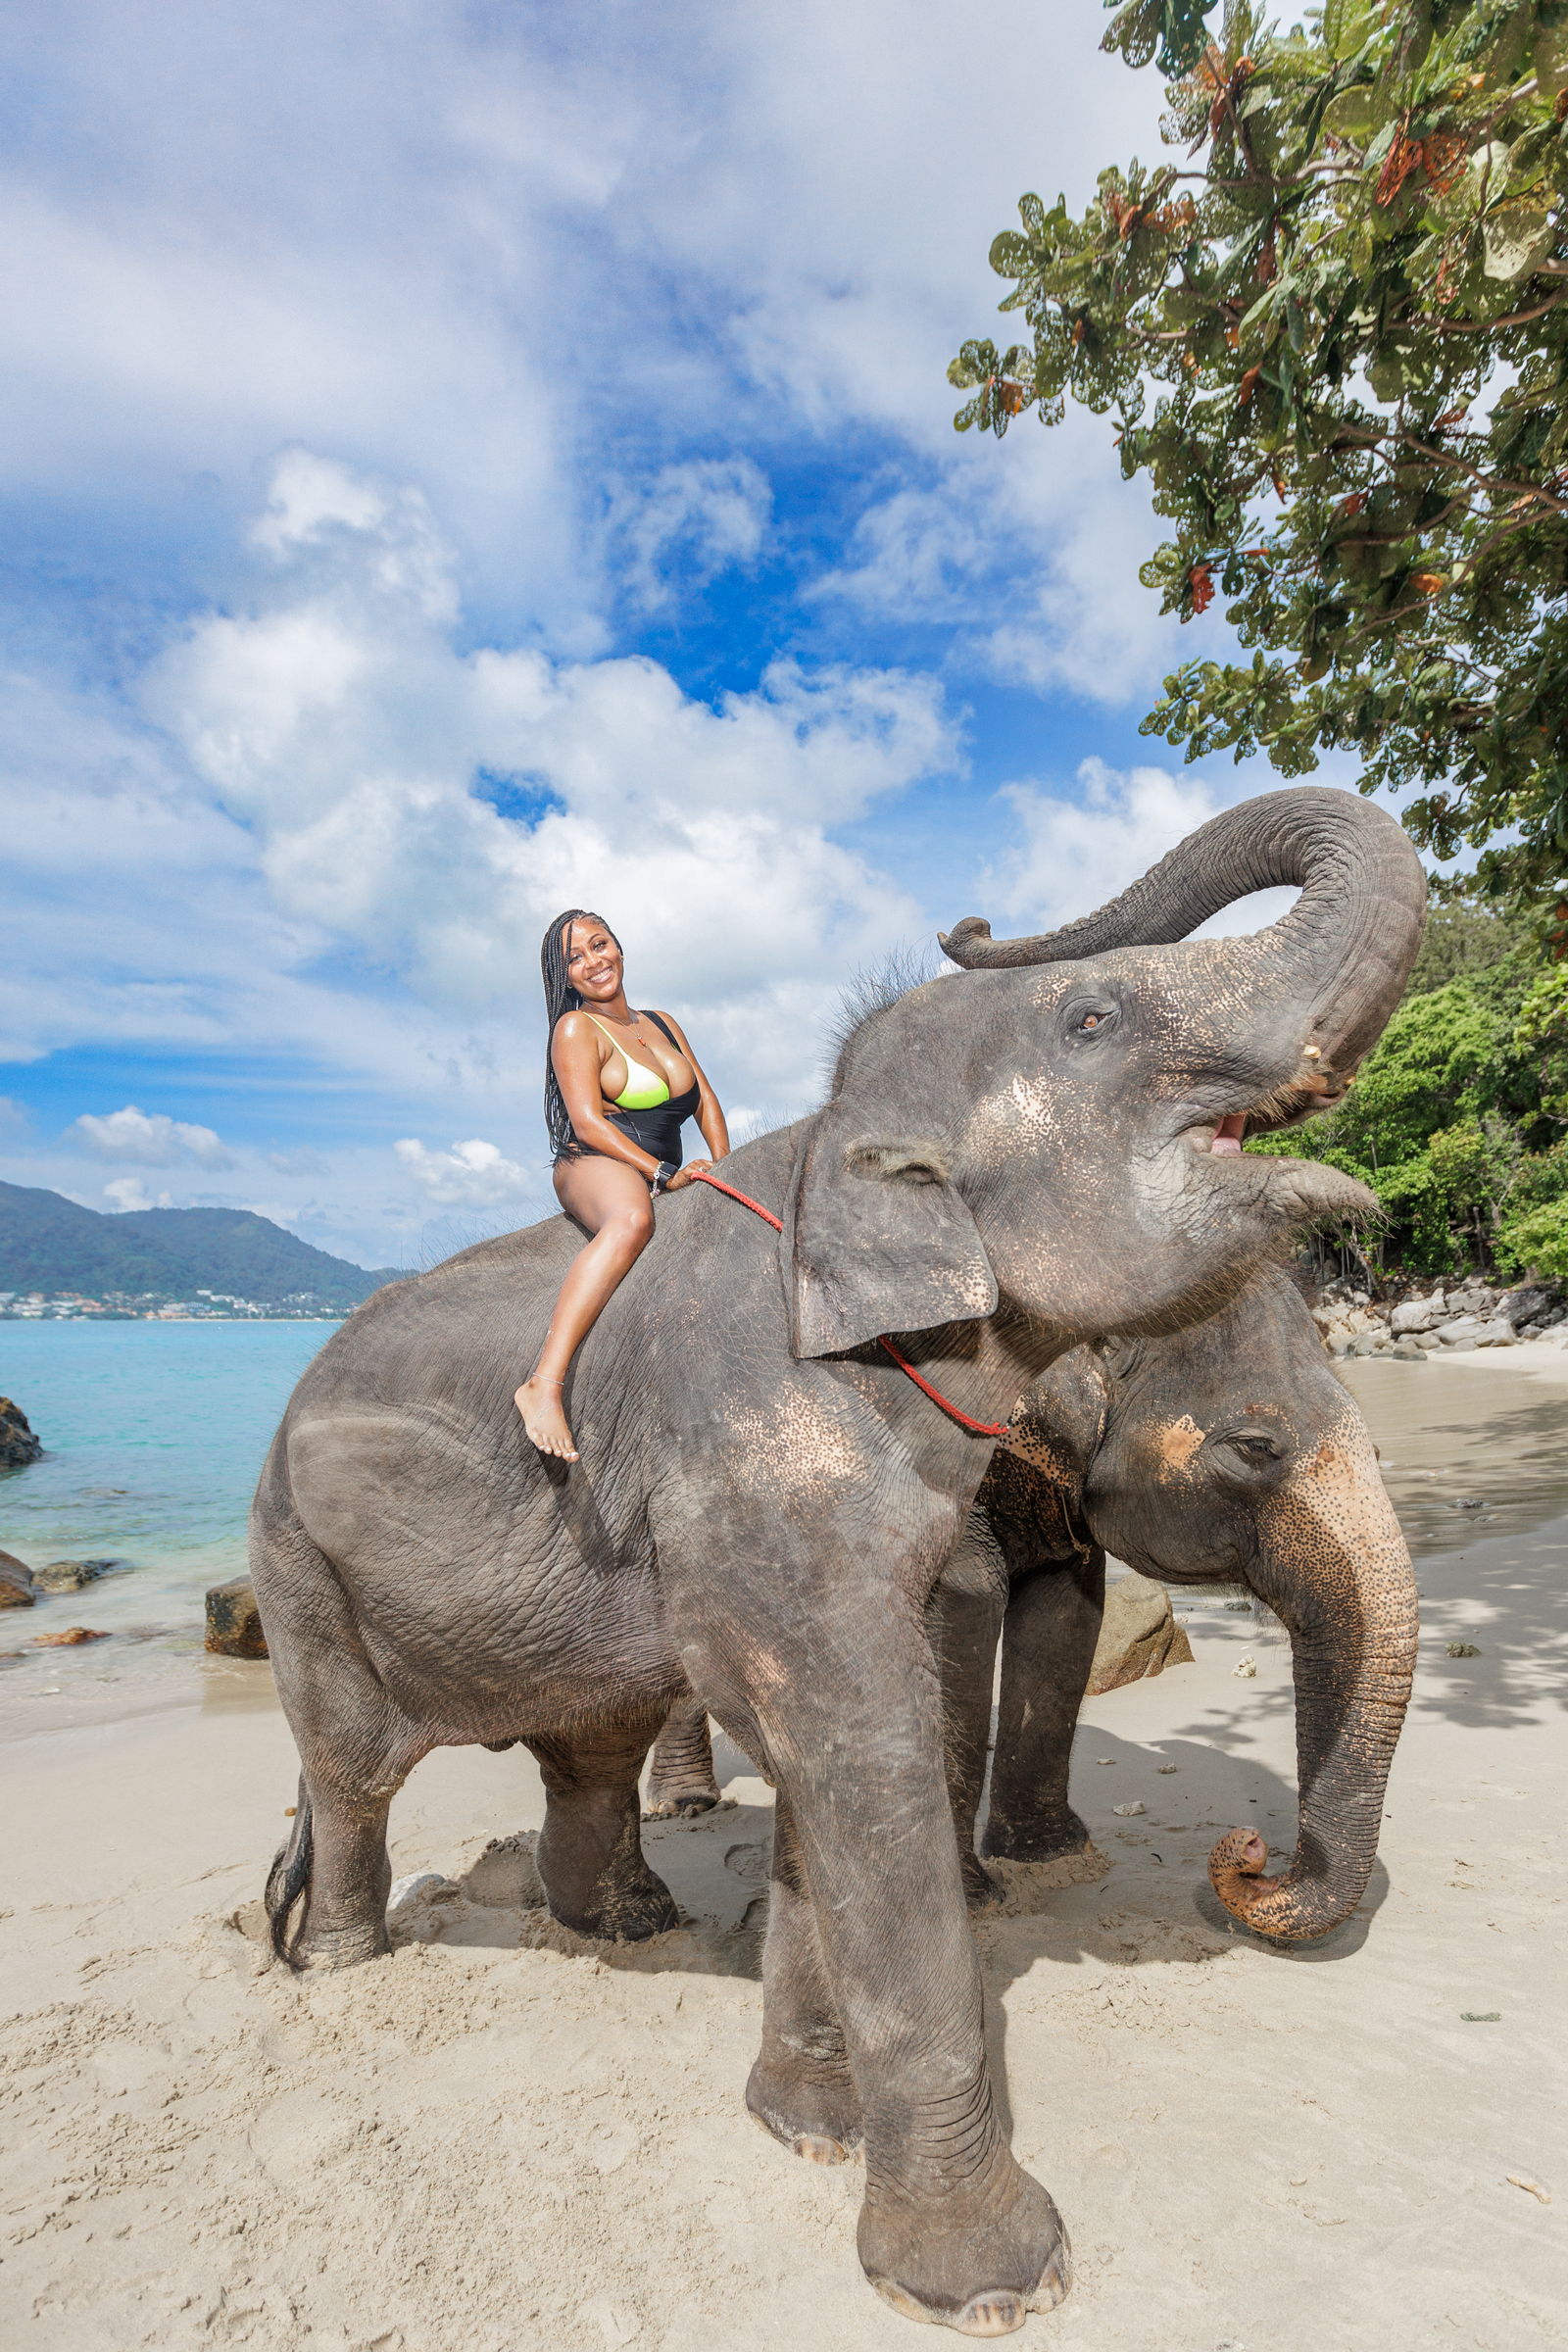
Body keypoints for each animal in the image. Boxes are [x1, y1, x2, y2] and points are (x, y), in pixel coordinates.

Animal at [646, 1257, 1415, 1948]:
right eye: (1256, 1448)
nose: (1252, 1851)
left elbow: (1066, 1615)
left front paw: (1055, 1859)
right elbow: (959, 1608)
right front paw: (974, 1901)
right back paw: (682, 1817)